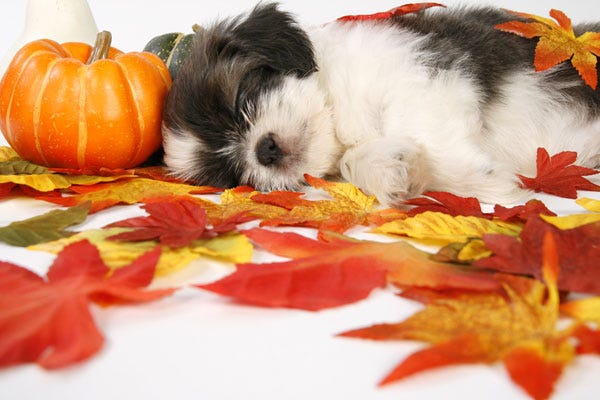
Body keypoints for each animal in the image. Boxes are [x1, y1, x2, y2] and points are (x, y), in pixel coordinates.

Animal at [161, 1, 600, 205]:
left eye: (241, 97)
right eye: (232, 174)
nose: (263, 150)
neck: (338, 112)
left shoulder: (424, 68)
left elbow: (421, 124)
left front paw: (484, 180)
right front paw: (391, 168)